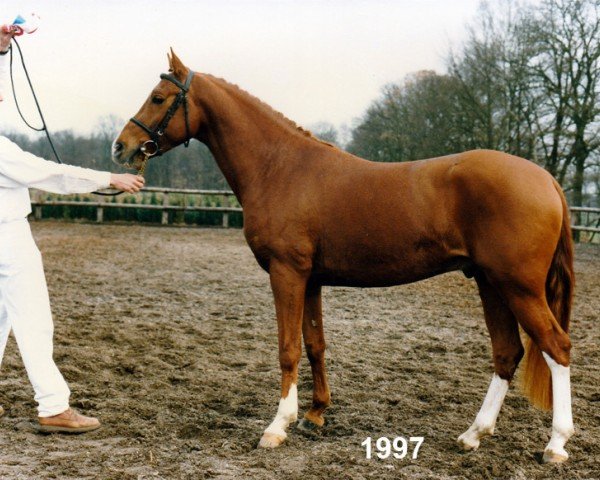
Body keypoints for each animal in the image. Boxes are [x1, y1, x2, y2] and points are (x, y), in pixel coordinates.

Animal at [112, 51, 576, 462]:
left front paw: (278, 426)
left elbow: (288, 348)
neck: (279, 167)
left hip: (518, 287)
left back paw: (555, 445)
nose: (121, 147)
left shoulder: (286, 274)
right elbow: (315, 344)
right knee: (507, 353)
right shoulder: (311, 279)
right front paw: (315, 414)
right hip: (489, 282)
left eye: (158, 97)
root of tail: (546, 180)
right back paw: (473, 434)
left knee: (556, 347)